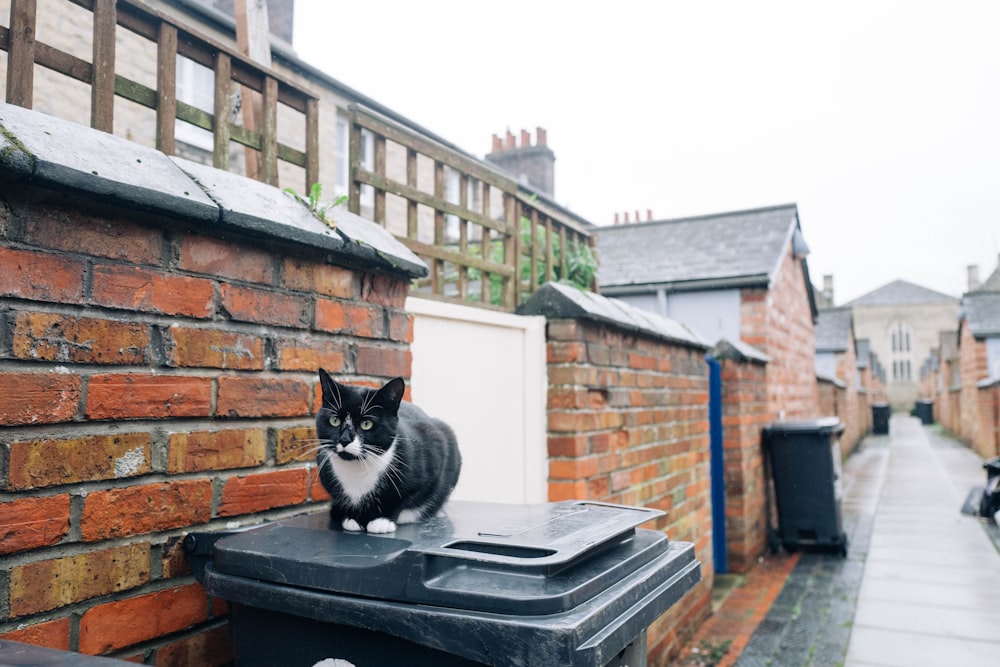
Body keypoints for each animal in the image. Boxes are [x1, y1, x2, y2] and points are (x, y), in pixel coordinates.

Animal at [314, 370, 462, 536]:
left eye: (366, 424)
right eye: (334, 420)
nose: (345, 439)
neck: (358, 468)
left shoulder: (433, 456)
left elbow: (404, 497)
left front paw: (381, 521)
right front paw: (352, 518)